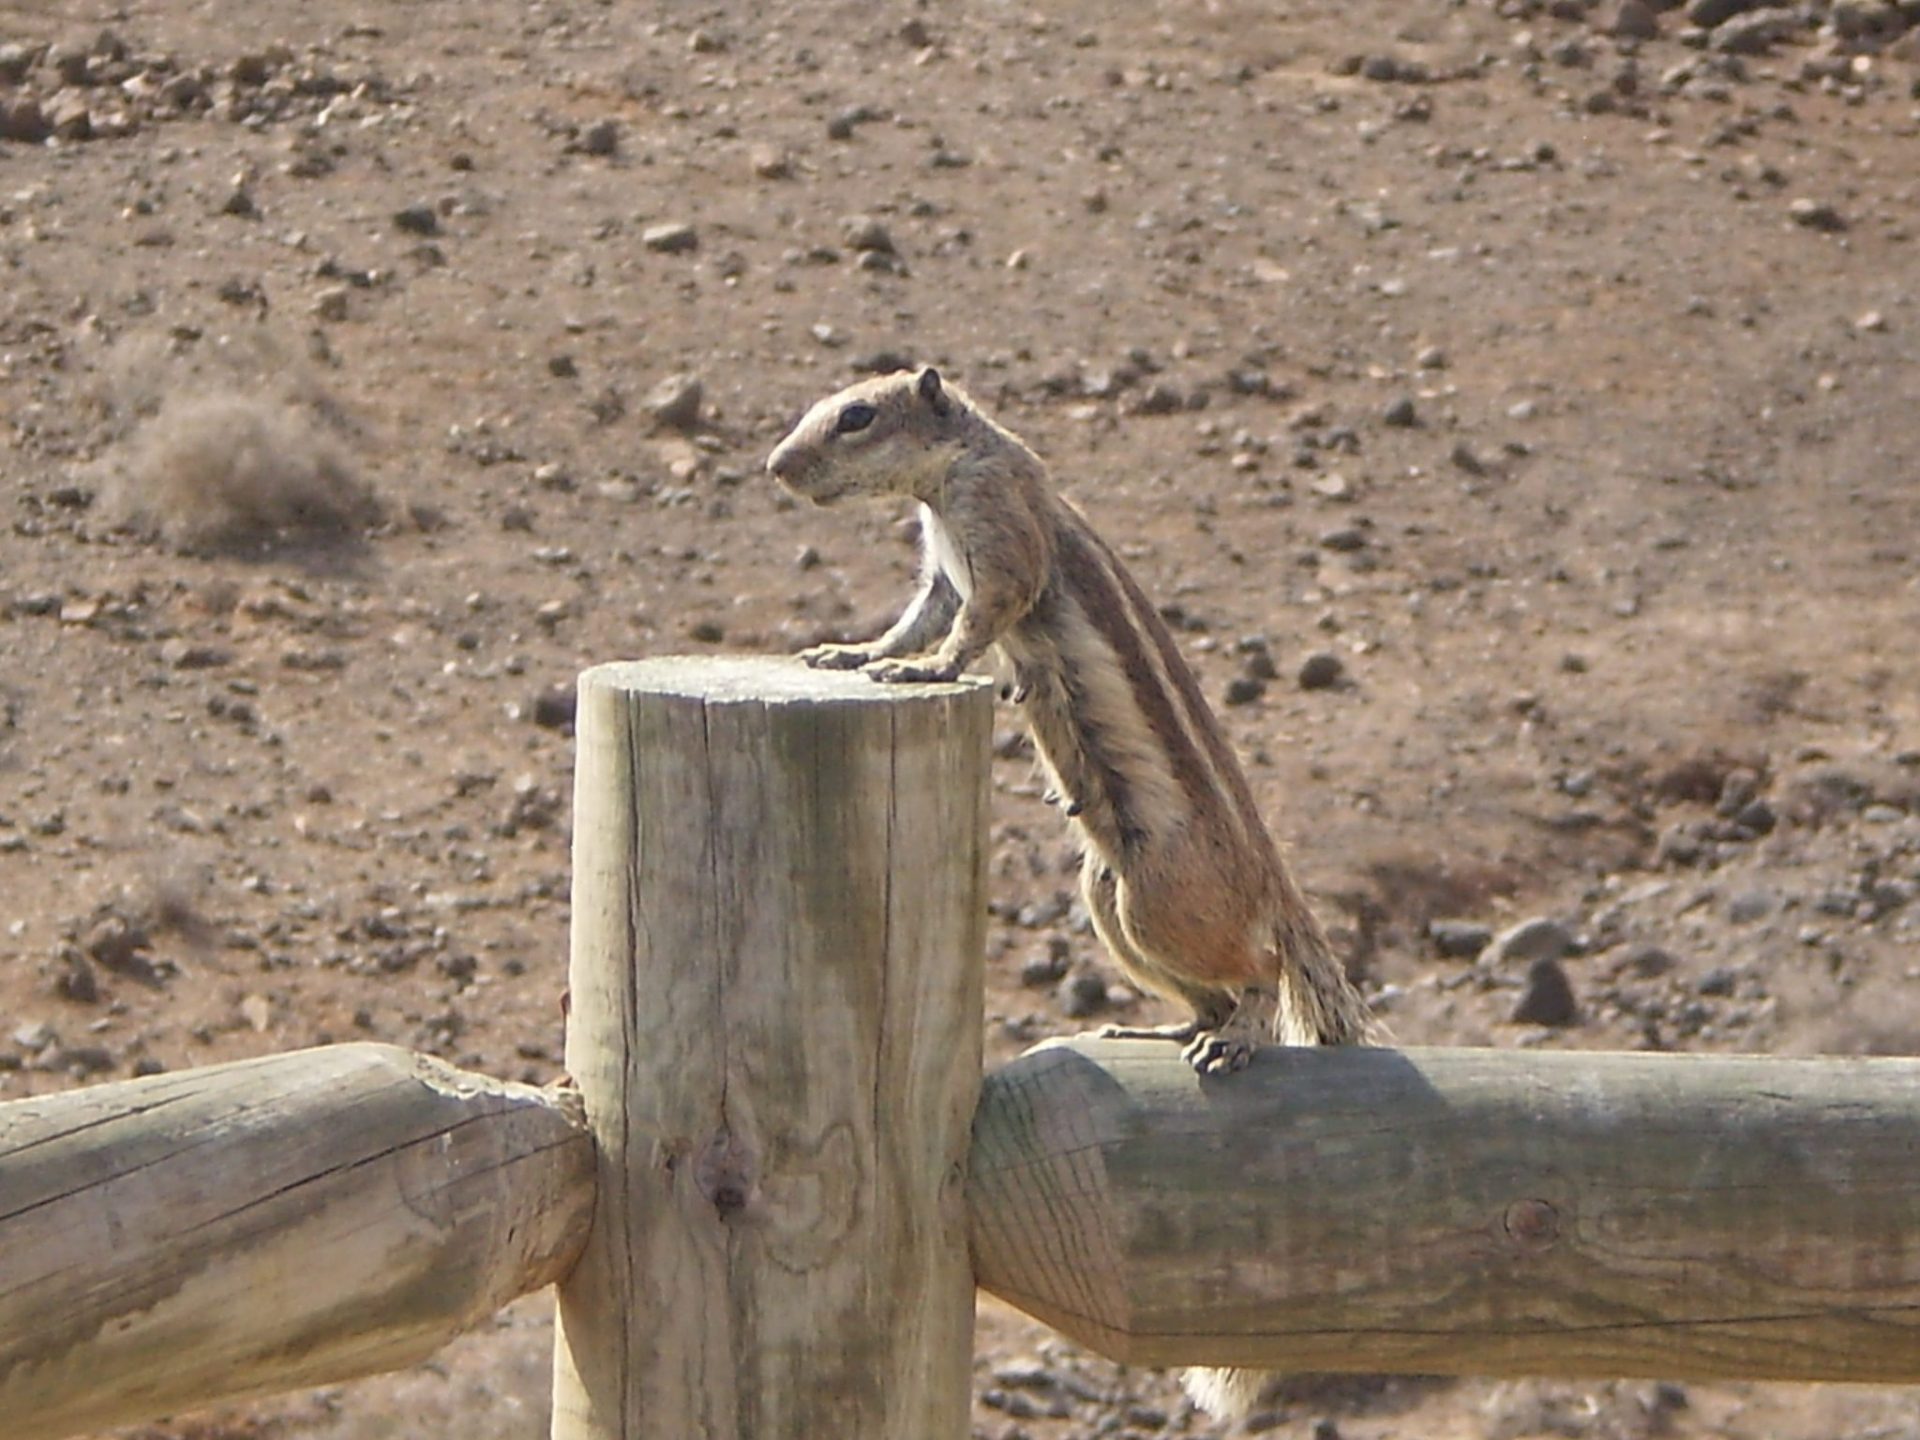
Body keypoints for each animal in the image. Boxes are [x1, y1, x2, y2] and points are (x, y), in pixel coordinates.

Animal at [767, 367, 1380, 1419]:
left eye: (856, 416)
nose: (778, 464)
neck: (956, 472)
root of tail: (1274, 883)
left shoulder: (999, 538)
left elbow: (975, 624)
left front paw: (915, 669)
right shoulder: (941, 569)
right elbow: (921, 614)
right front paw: (852, 653)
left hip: (1159, 900)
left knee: (1258, 971)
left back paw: (1235, 1033)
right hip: (1107, 895)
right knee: (1207, 982)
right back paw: (1164, 1029)